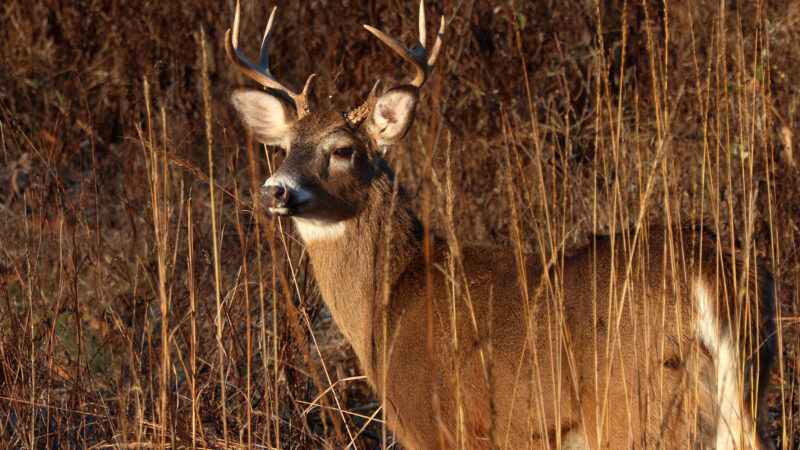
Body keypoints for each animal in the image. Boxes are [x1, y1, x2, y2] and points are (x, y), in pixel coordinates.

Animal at [225, 1, 776, 448]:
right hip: (742, 392)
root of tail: (709, 272)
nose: (274, 190)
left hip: (635, 407)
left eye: (342, 149)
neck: (391, 299)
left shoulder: (437, 426)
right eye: (283, 146)